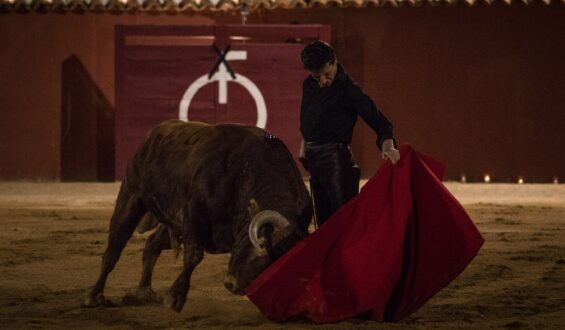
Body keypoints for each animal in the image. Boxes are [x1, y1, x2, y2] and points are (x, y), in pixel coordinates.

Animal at [84, 119, 312, 312]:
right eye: (262, 245)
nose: (233, 286)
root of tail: (154, 133)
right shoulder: (194, 214)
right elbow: (193, 256)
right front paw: (175, 298)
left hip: (172, 222)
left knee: (152, 243)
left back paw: (144, 292)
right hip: (131, 197)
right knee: (114, 247)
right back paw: (95, 297)